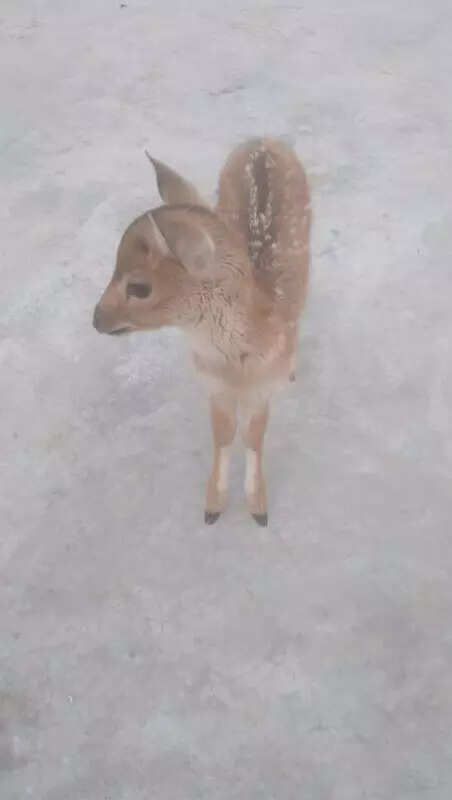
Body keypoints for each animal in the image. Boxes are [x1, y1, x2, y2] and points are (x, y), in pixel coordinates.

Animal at [93, 138, 310, 526]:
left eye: (139, 287)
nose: (96, 318)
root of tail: (265, 141)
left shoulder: (263, 384)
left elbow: (253, 436)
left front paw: (258, 510)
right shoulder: (212, 383)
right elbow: (223, 435)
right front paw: (214, 507)